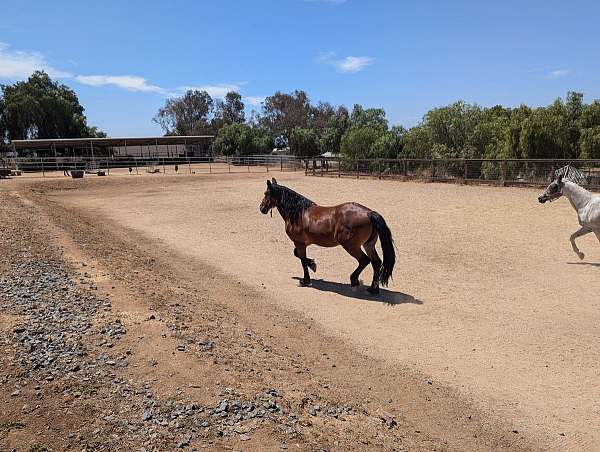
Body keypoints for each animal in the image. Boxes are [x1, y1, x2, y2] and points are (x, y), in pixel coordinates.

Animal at [258, 178, 394, 294]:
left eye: (265, 193)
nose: (261, 208)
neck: (299, 213)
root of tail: (369, 213)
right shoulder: (303, 244)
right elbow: (297, 255)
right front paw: (312, 264)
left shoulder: (299, 243)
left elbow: (302, 260)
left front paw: (306, 280)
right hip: (368, 244)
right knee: (376, 263)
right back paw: (372, 289)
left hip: (351, 246)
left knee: (364, 260)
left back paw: (354, 281)